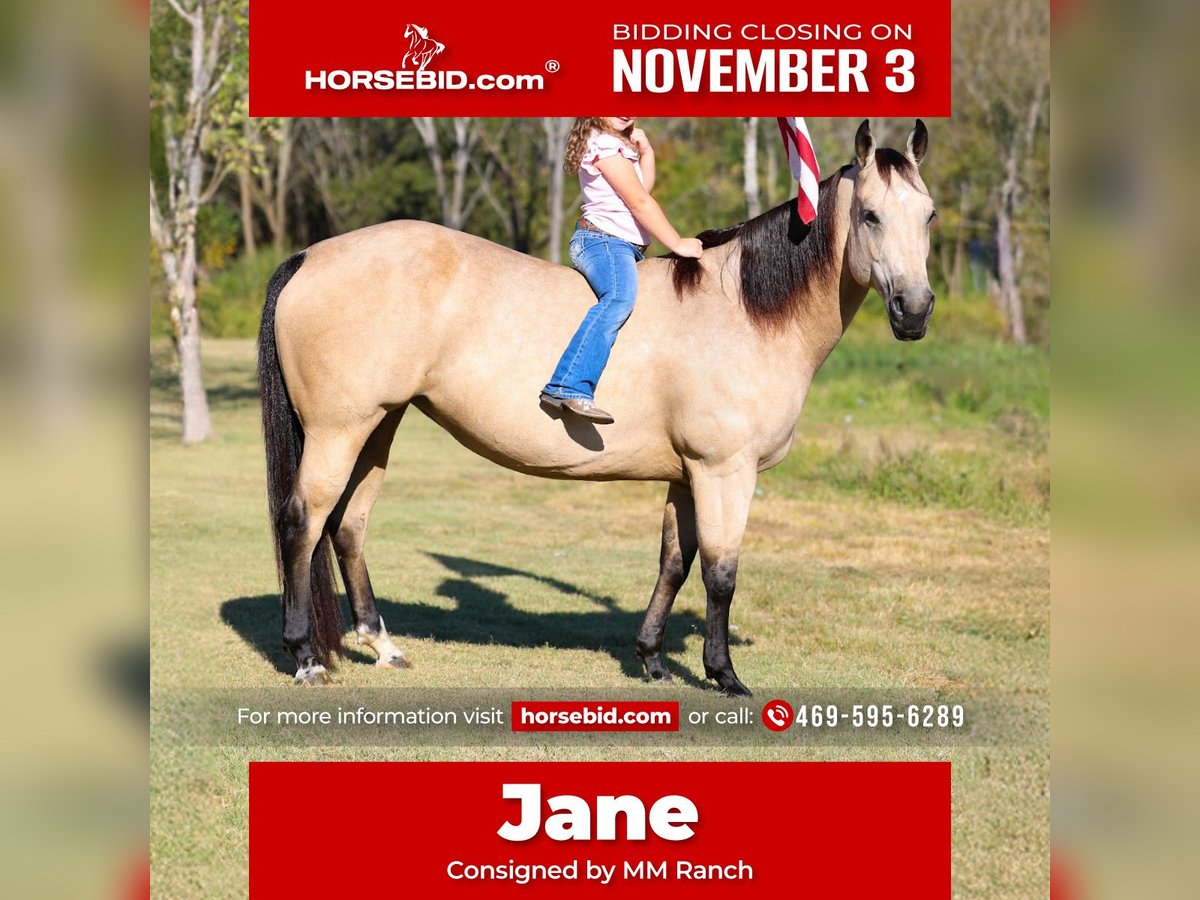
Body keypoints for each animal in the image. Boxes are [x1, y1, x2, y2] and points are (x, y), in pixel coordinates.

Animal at [257, 119, 936, 696]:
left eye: (929, 215)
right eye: (871, 215)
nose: (915, 311)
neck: (743, 311)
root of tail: (310, 256)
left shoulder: (687, 476)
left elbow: (674, 563)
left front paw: (654, 661)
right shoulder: (725, 472)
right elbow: (721, 573)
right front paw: (723, 674)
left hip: (380, 425)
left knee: (348, 526)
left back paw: (383, 646)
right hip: (338, 430)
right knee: (302, 521)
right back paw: (306, 656)